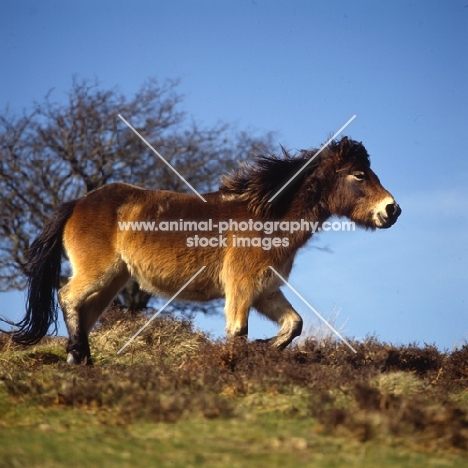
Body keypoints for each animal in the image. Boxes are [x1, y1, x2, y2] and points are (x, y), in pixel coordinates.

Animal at [5, 137, 400, 364]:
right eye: (359, 174)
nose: (392, 210)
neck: (266, 215)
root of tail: (78, 202)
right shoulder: (242, 287)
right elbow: (238, 331)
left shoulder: (265, 290)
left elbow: (293, 325)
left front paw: (263, 348)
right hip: (97, 272)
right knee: (67, 297)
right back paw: (76, 355)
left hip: (114, 280)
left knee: (85, 311)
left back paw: (83, 360)